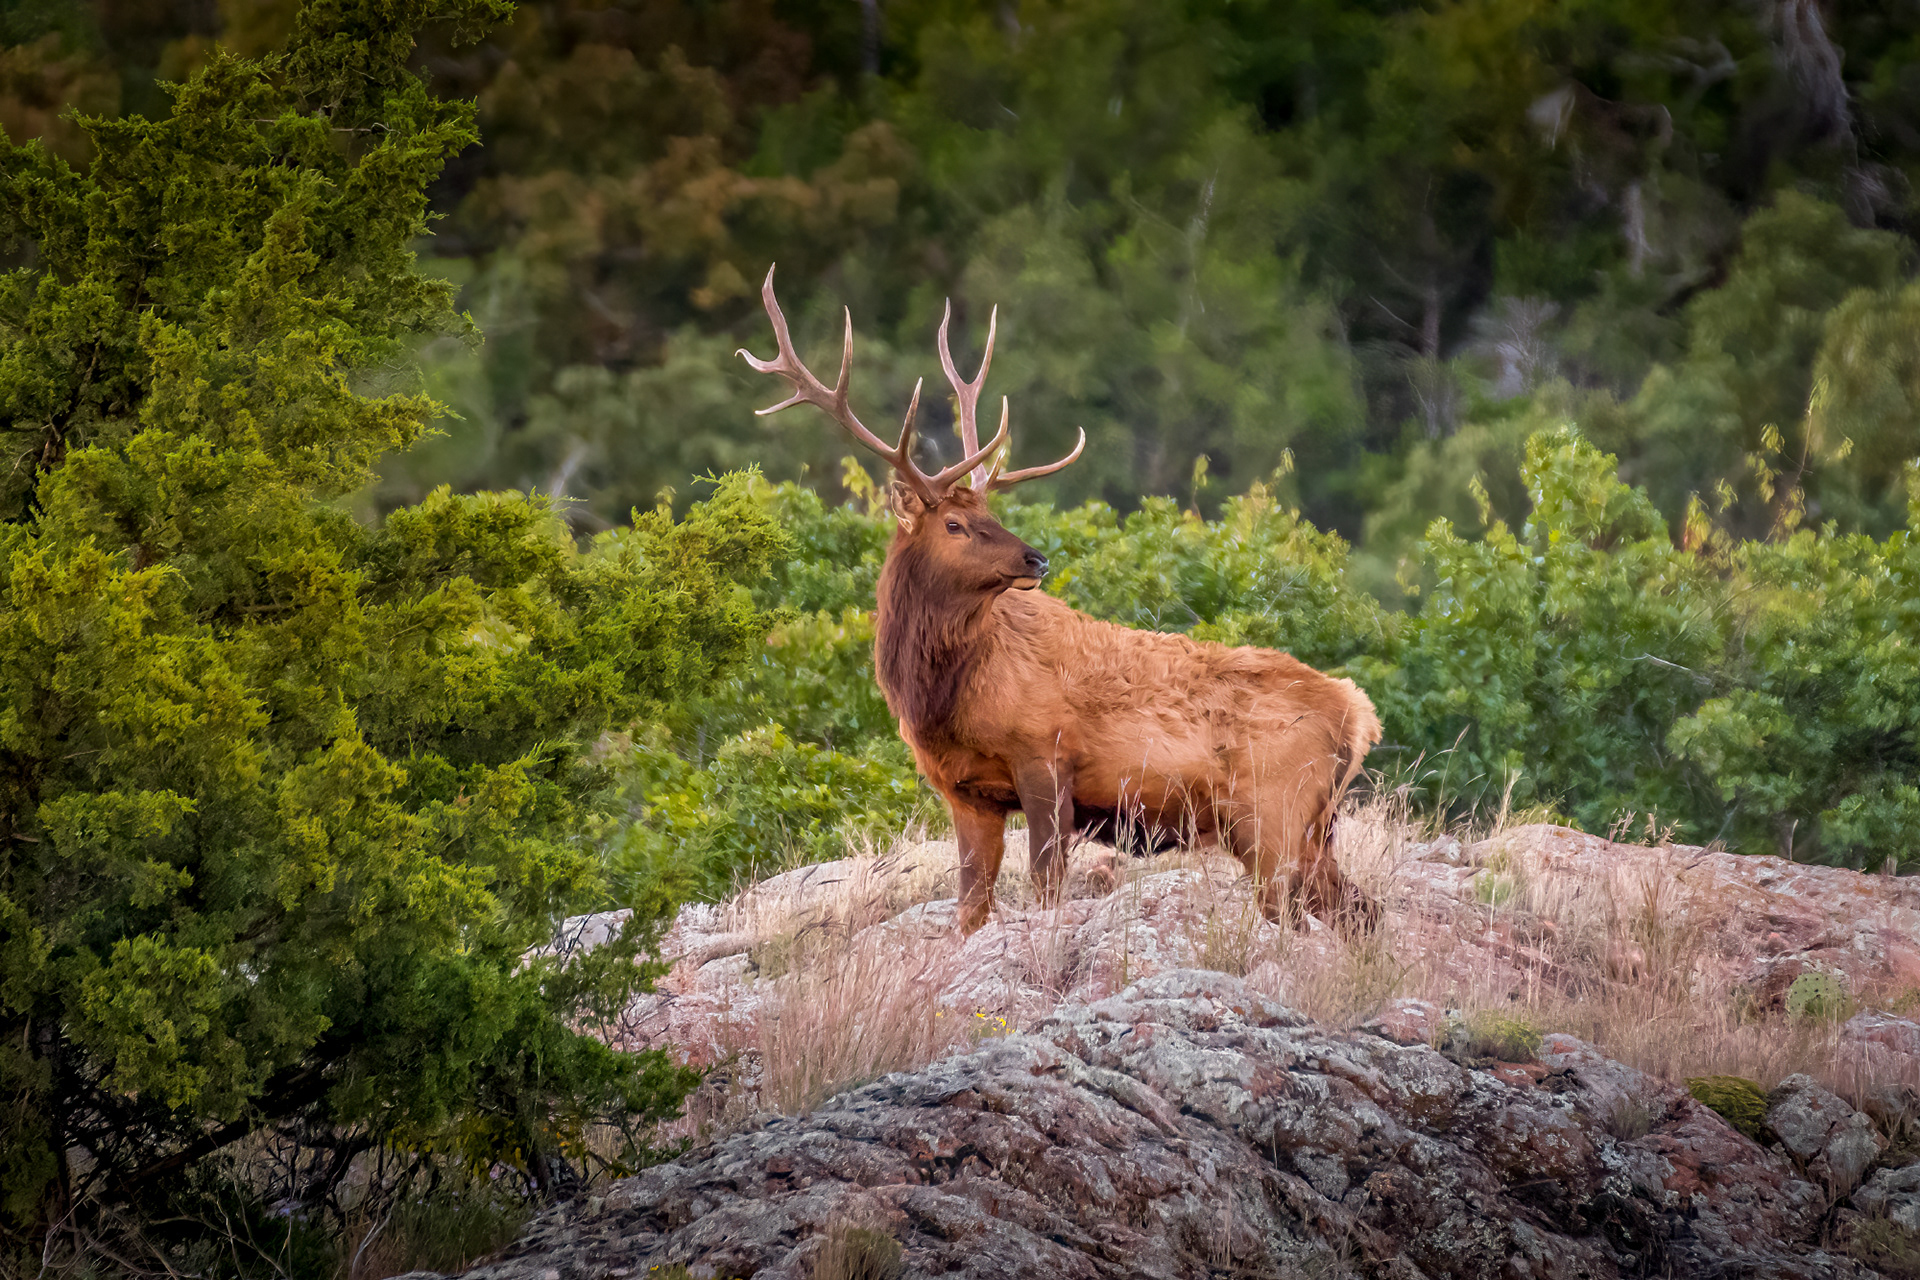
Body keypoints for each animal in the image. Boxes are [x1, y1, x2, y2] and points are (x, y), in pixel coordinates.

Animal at [739, 267, 1383, 936]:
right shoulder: (967, 792)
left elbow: (1046, 886)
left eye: (988, 515)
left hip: (1273, 812)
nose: (1035, 558)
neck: (944, 696)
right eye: (956, 525)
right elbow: (971, 907)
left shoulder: (1045, 758)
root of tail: (1359, 715)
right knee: (1359, 909)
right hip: (1312, 825)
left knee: (1297, 913)